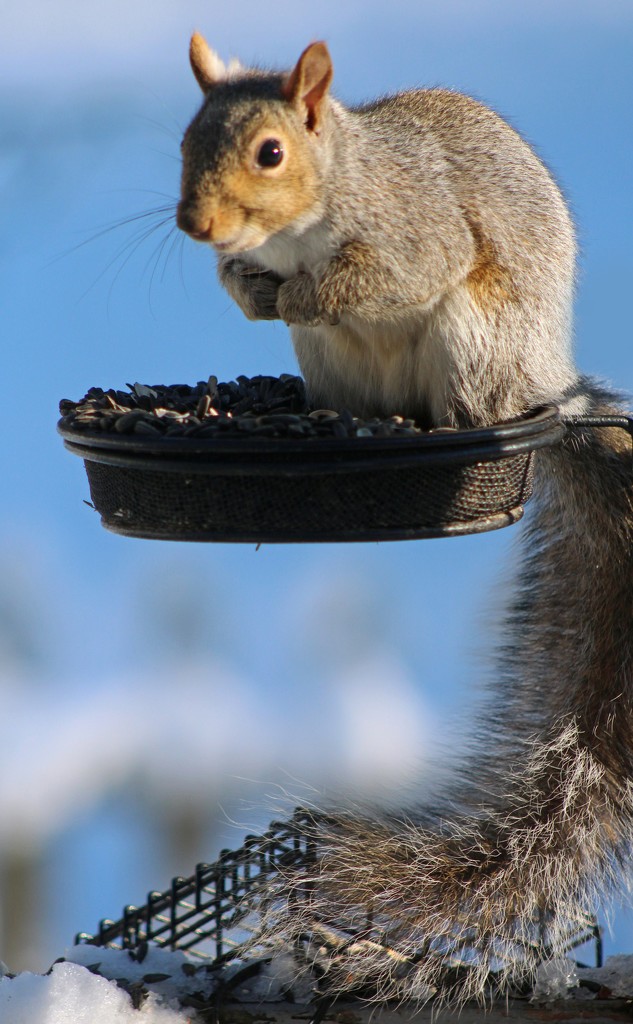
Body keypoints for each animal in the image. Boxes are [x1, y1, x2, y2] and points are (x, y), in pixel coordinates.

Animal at [176, 34, 630, 1007]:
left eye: (270, 153)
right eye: (186, 140)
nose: (198, 226)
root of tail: (547, 385)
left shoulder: (414, 228)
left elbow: (387, 274)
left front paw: (297, 291)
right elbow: (247, 285)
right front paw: (247, 287)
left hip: (477, 337)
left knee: (464, 396)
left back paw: (440, 421)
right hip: (334, 364)